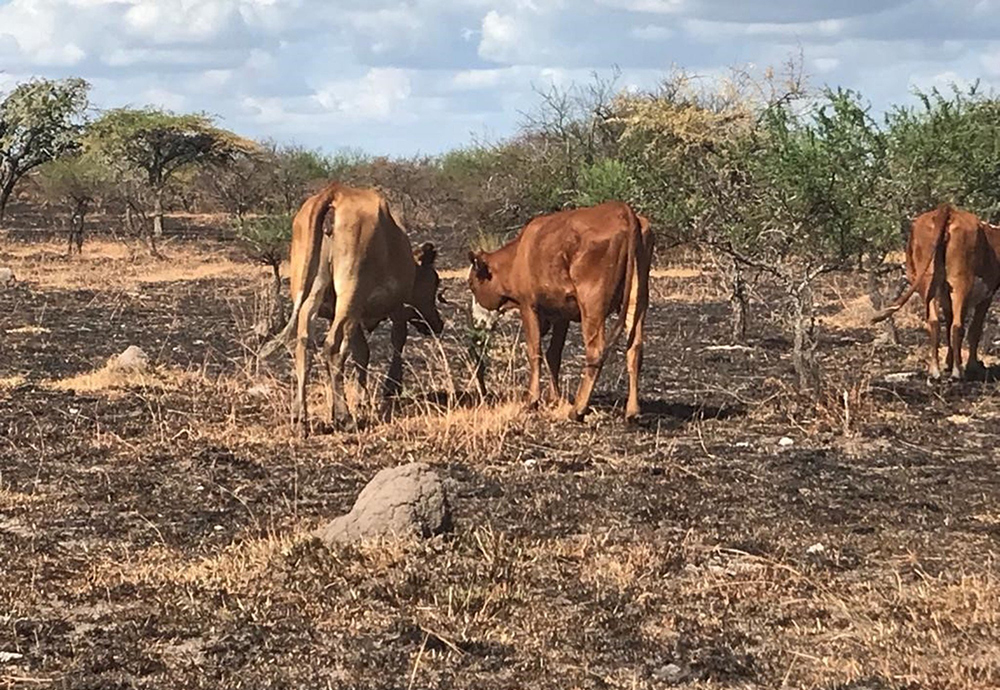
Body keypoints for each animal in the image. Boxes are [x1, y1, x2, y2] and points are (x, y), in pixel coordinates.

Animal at [262, 180, 442, 432]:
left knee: (304, 344)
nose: (437, 323)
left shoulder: (349, 315)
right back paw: (343, 417)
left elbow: (361, 353)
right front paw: (390, 387)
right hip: (351, 293)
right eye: (435, 281)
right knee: (333, 347)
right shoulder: (396, 307)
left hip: (314, 294)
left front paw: (362, 399)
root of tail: (335, 192)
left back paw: (300, 418)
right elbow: (396, 342)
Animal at [470, 200, 656, 420]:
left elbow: (535, 351)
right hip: (638, 297)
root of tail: (621, 210)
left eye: (472, 285)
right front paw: (554, 398)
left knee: (595, 351)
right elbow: (553, 354)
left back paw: (578, 409)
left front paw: (532, 400)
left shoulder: (528, 306)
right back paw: (632, 411)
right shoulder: (561, 314)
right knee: (635, 348)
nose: (476, 320)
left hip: (592, 303)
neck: (518, 256)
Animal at [872, 202, 1000, 378]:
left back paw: (935, 370)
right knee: (957, 326)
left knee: (934, 322)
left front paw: (948, 363)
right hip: (960, 281)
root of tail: (947, 210)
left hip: (928, 282)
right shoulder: (987, 293)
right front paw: (972, 365)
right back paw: (958, 372)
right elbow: (974, 330)